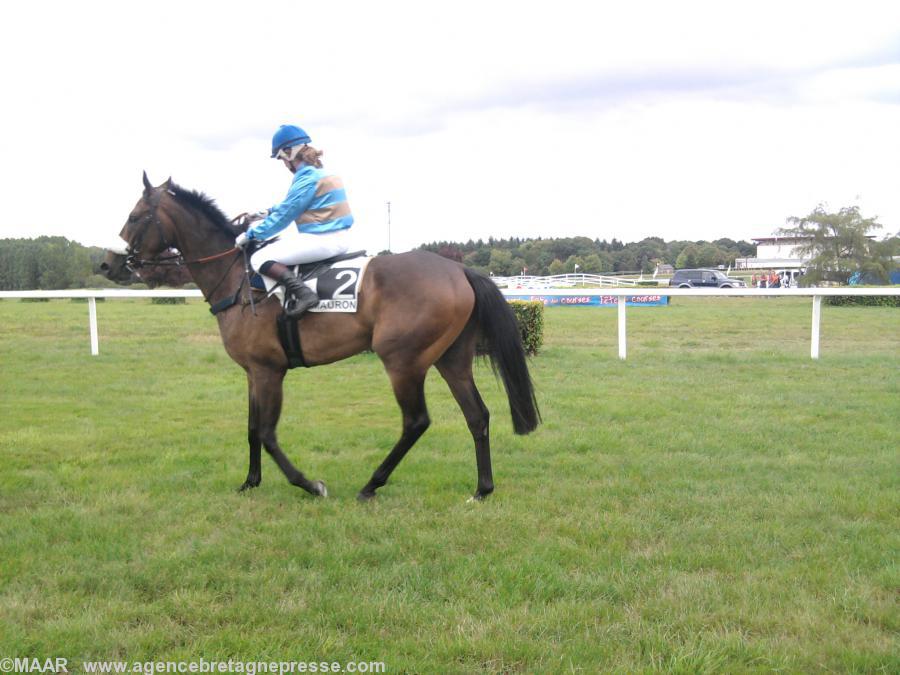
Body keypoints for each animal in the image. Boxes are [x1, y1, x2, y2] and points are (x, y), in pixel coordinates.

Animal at [103, 173, 540, 502]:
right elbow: (251, 429)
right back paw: (482, 489)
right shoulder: (253, 372)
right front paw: (250, 482)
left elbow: (267, 433)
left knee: (416, 421)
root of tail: (459, 271)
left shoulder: (269, 371)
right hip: (450, 358)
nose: (108, 264)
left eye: (135, 215)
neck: (239, 280)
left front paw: (309, 484)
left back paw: (371, 484)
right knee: (477, 415)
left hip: (403, 360)